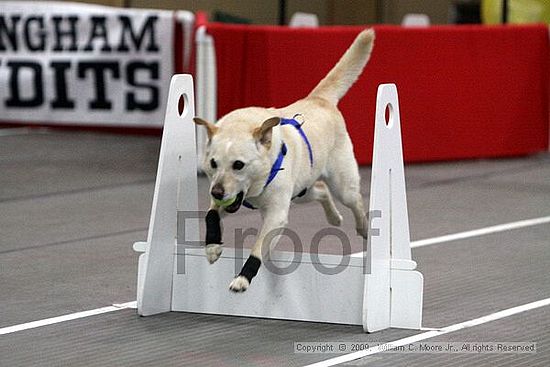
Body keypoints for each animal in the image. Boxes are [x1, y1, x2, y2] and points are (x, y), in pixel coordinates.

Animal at [193, 29, 376, 294]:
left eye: (238, 164)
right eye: (213, 163)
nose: (217, 192)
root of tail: (318, 99)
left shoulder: (276, 215)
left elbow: (258, 248)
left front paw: (243, 277)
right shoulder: (224, 201)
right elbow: (210, 215)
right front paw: (212, 246)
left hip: (342, 186)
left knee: (356, 202)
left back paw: (362, 227)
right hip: (301, 192)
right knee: (321, 190)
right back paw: (334, 218)